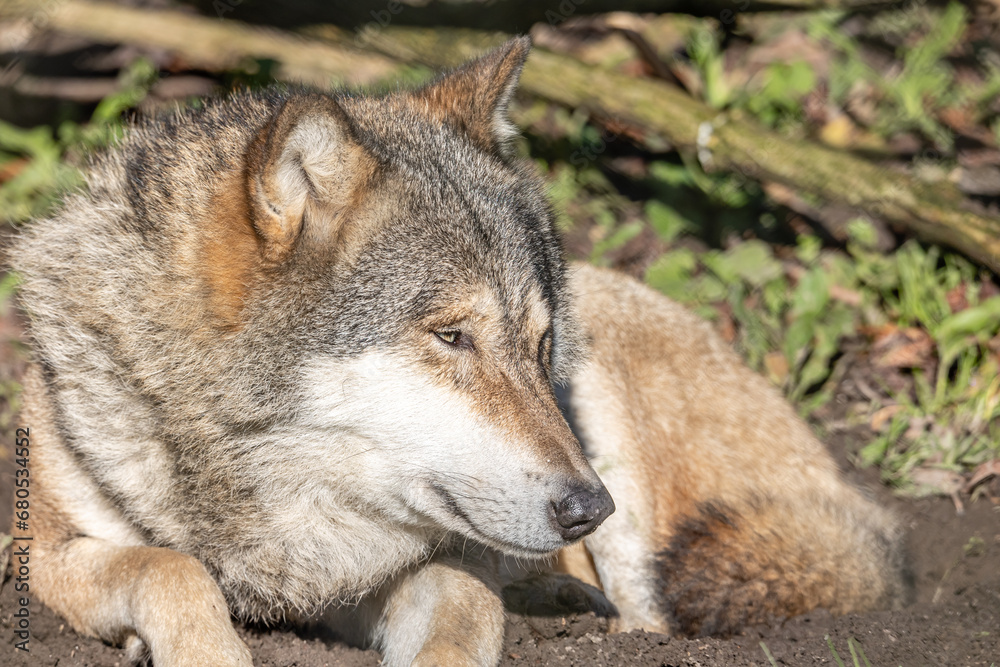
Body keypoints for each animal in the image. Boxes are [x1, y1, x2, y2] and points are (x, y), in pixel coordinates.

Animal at [10, 37, 907, 666]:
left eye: (540, 345)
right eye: (451, 336)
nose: (588, 506)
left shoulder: (425, 568)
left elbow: (463, 609)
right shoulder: (43, 554)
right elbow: (171, 567)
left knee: (642, 612)